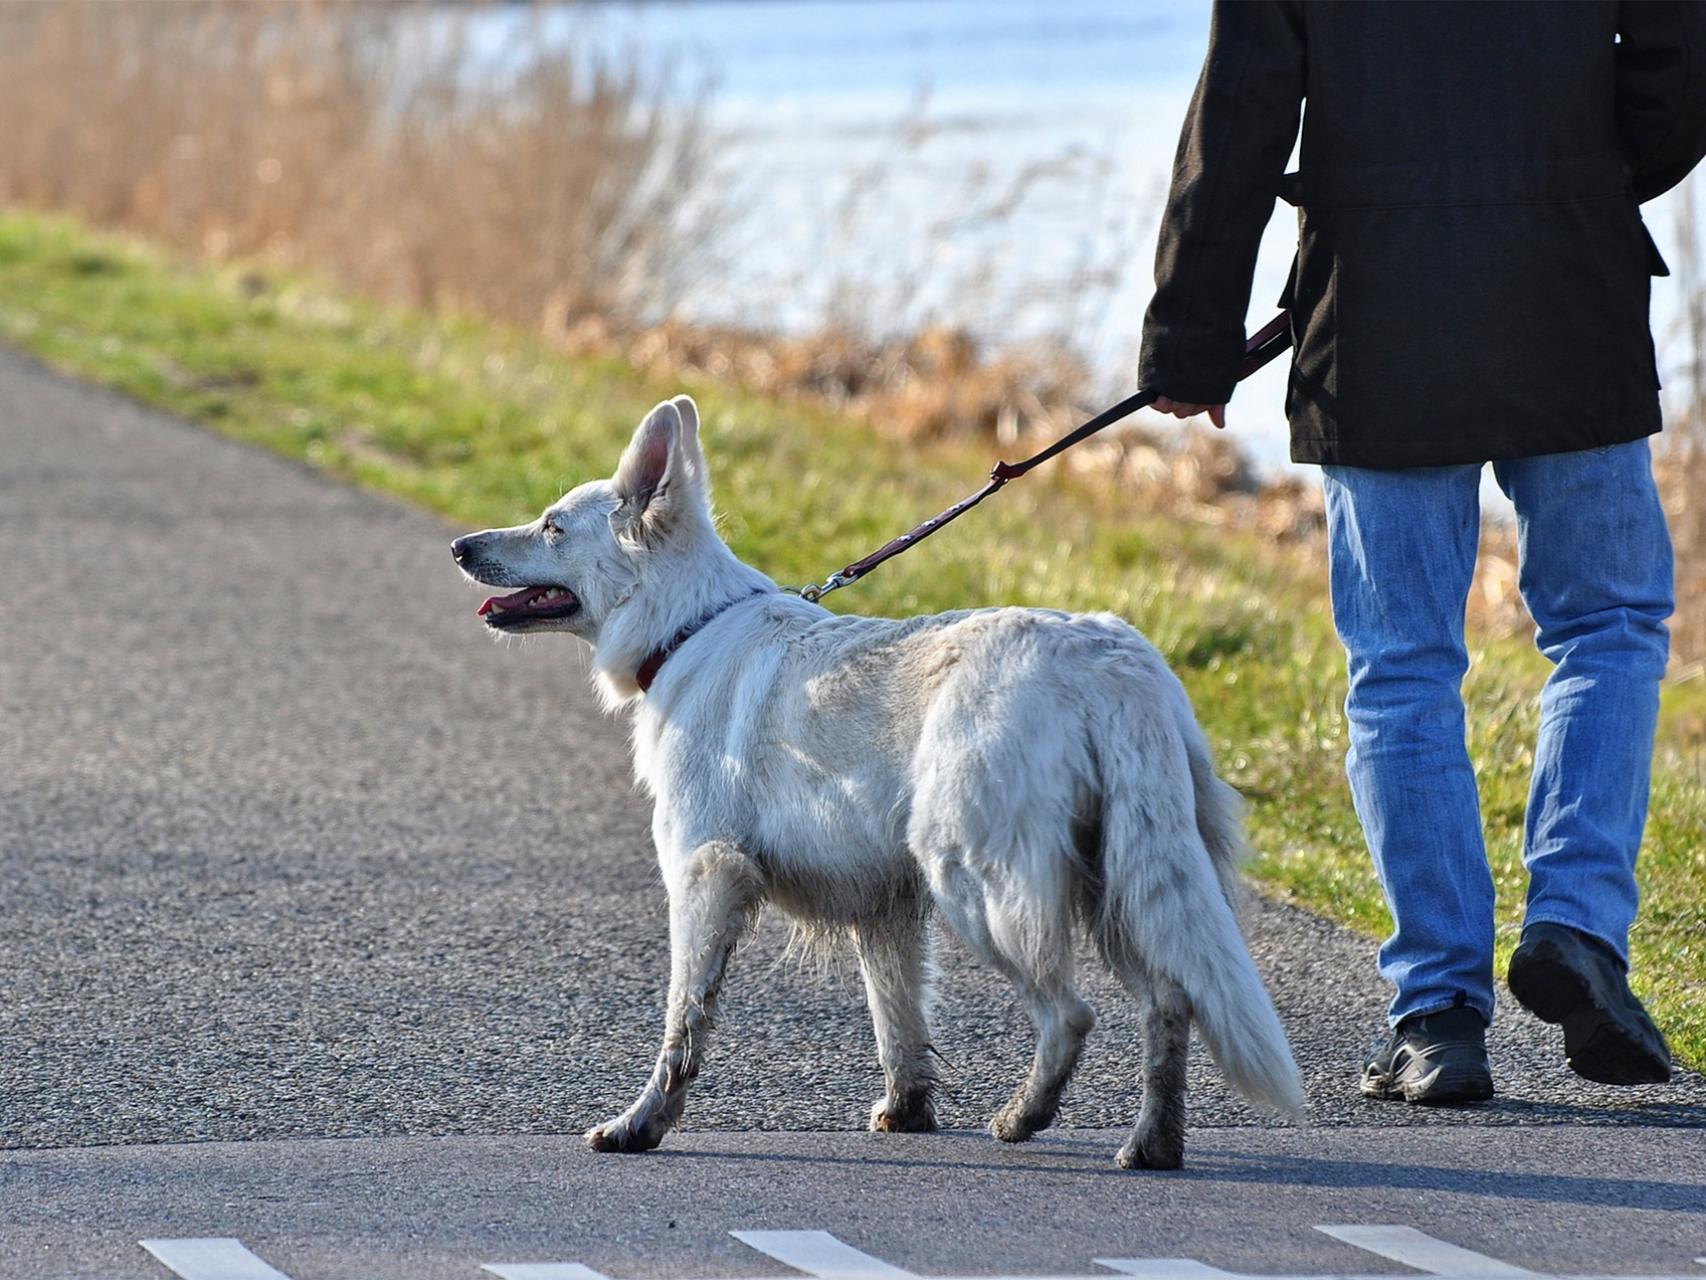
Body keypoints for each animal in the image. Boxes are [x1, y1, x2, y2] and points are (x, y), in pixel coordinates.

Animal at [453, 395, 1303, 1167]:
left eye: (552, 525)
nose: (460, 545)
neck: (687, 626)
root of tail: (1111, 661)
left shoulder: (705, 877)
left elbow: (683, 1024)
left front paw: (641, 1125)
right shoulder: (884, 908)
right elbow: (899, 1024)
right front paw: (908, 1112)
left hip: (979, 883)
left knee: (1071, 1015)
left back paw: (1024, 1117)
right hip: (1121, 884)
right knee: (1170, 1002)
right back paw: (1151, 1144)